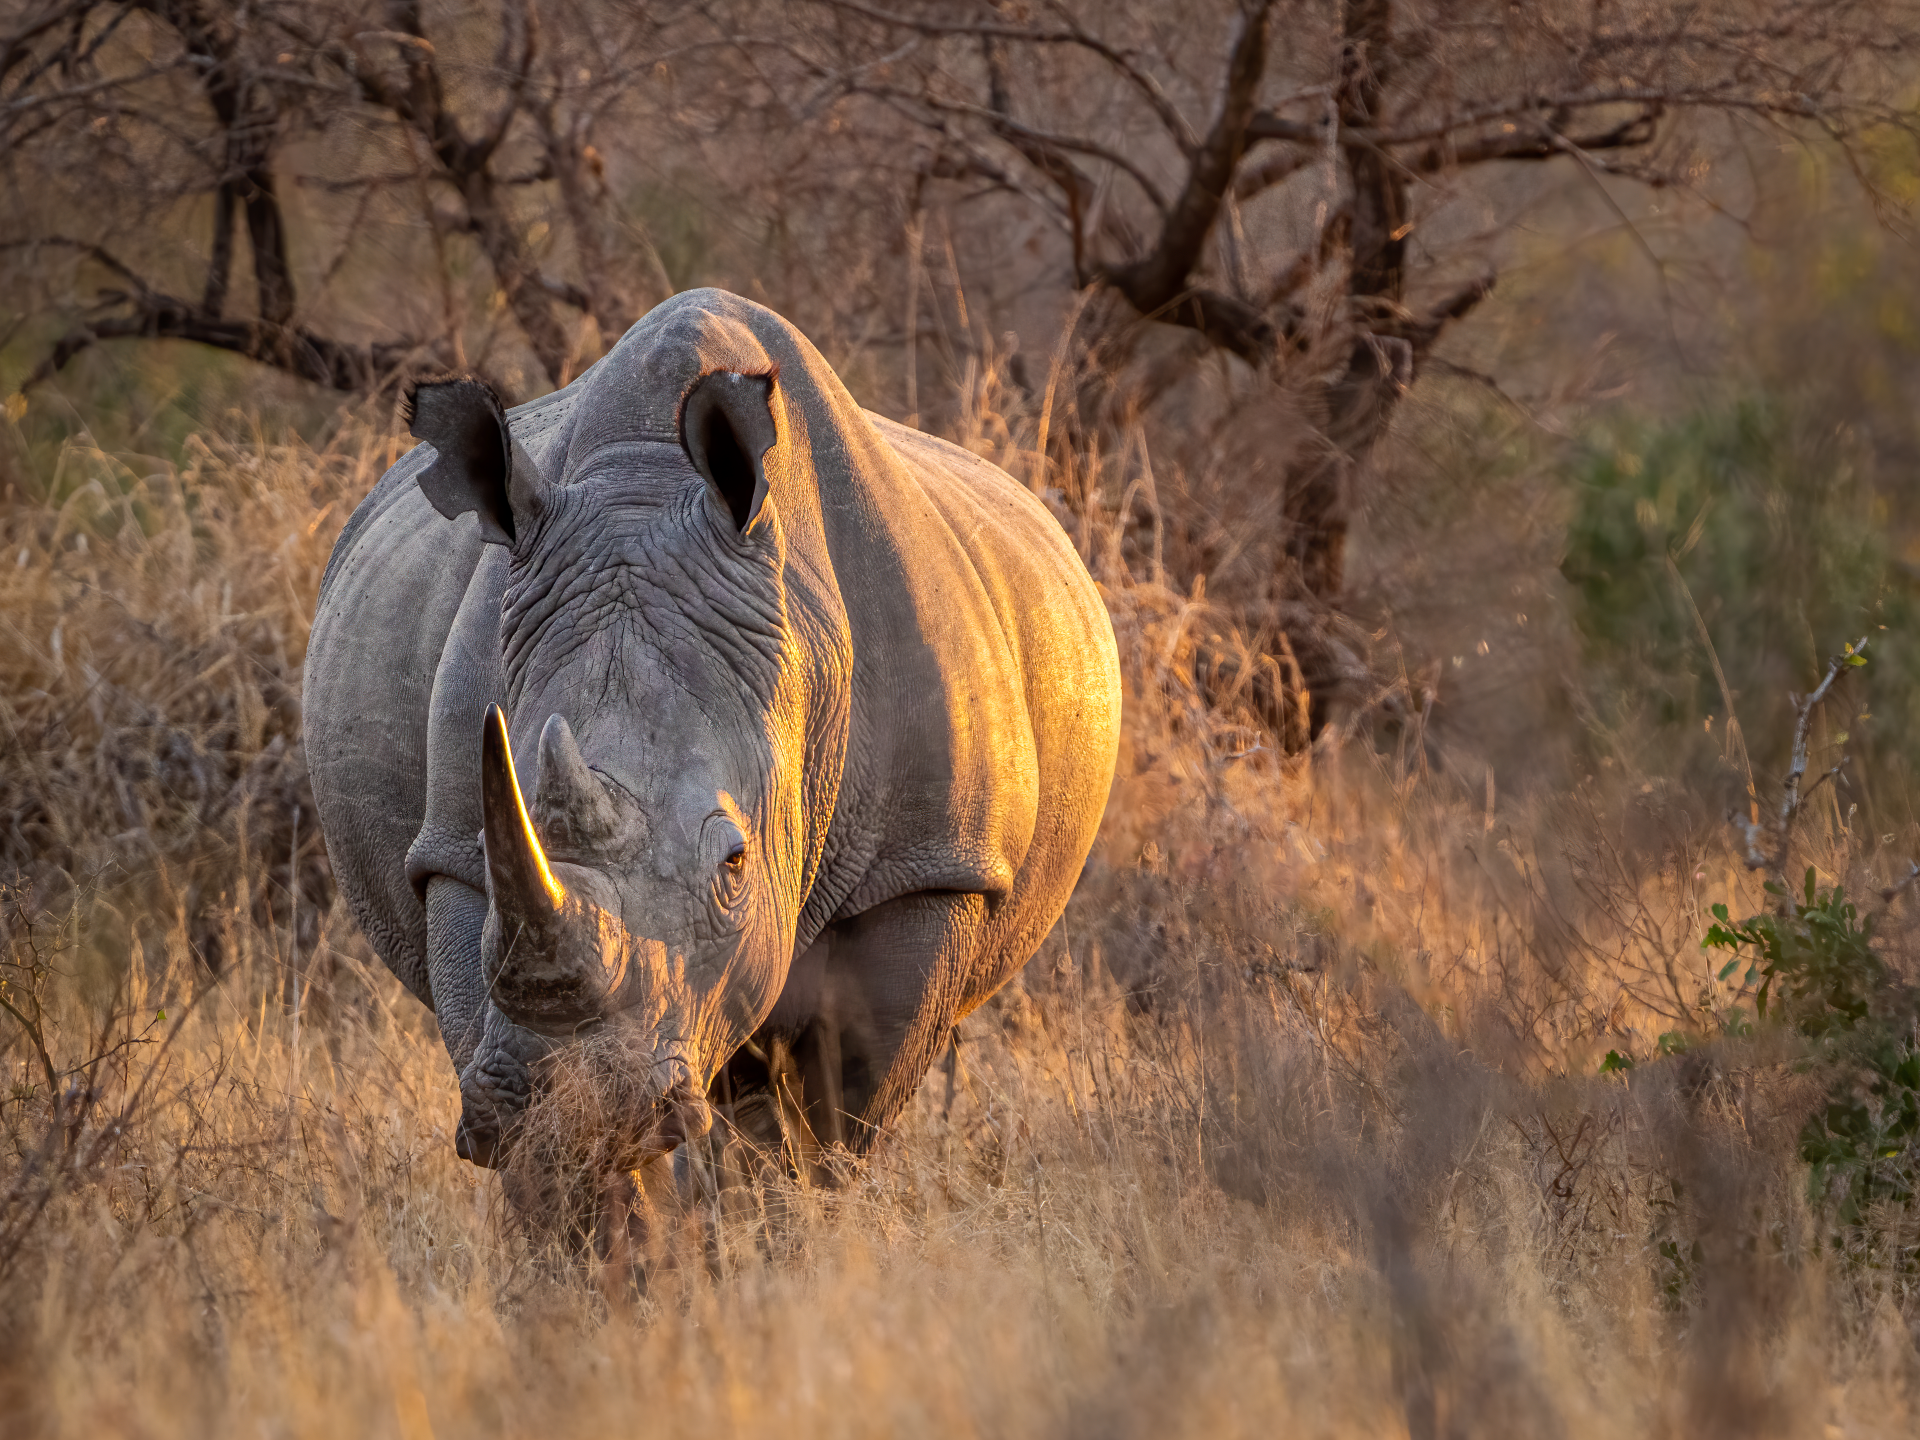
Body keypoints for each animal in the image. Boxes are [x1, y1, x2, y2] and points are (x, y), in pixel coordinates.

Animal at [303, 289, 1120, 1174]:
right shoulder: (455, 852)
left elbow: (838, 1118)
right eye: (494, 842)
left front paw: (797, 1208)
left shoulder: (934, 864)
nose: (578, 1102)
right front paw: (571, 1173)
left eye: (734, 863)